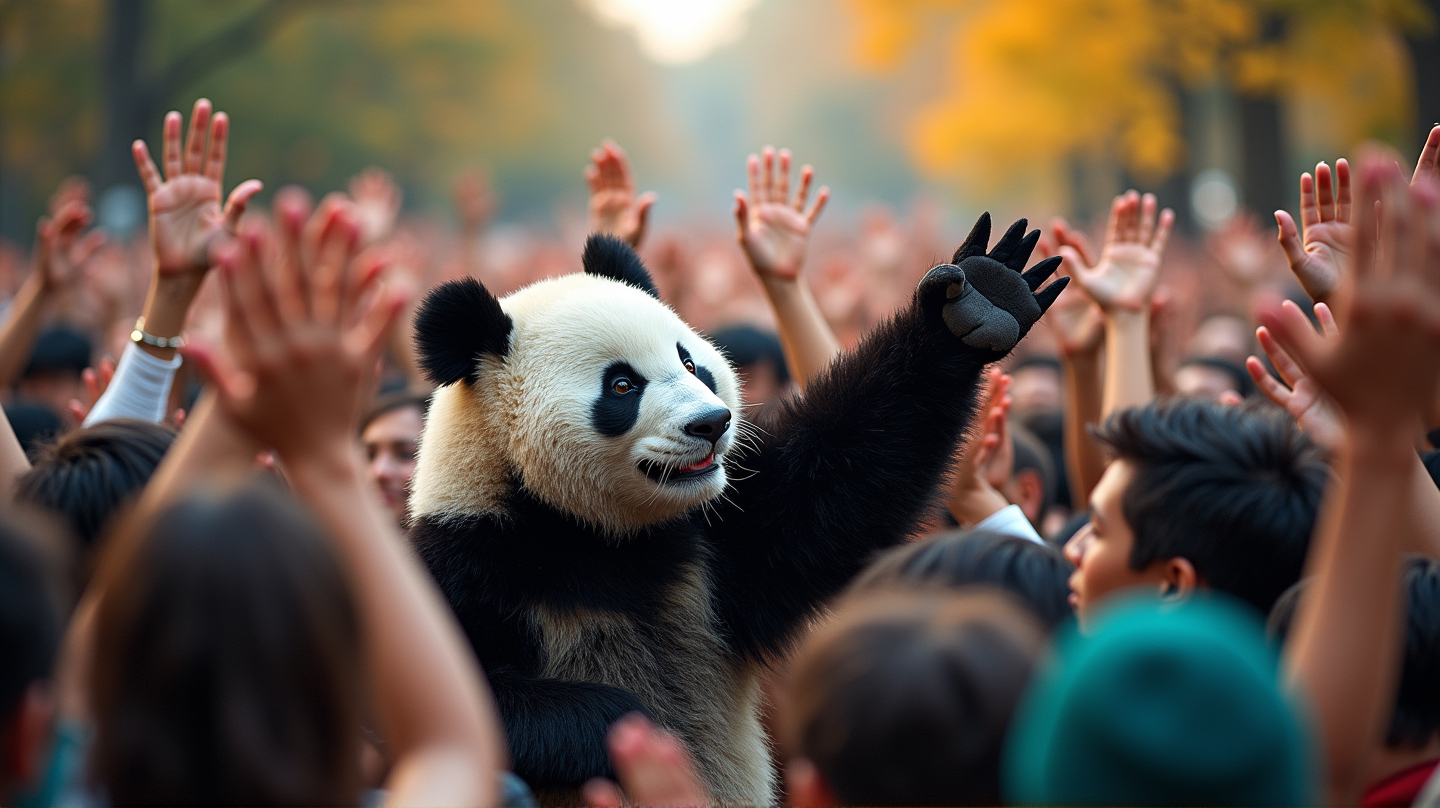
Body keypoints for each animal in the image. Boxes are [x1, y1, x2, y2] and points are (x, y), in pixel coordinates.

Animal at [408, 215, 1066, 805]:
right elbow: (458, 705)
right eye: (621, 386)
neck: (590, 530)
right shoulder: (470, 560)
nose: (712, 422)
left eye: (689, 361)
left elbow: (834, 487)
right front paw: (627, 723)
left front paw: (982, 298)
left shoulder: (715, 543)